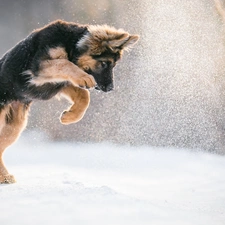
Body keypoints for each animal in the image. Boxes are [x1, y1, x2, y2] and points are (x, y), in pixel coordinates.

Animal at [0, 20, 139, 184]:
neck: (72, 44)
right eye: (105, 63)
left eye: (114, 65)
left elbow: (84, 95)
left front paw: (70, 116)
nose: (110, 88)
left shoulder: (61, 83)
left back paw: (4, 176)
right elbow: (64, 63)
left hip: (15, 127)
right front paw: (84, 77)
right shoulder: (40, 66)